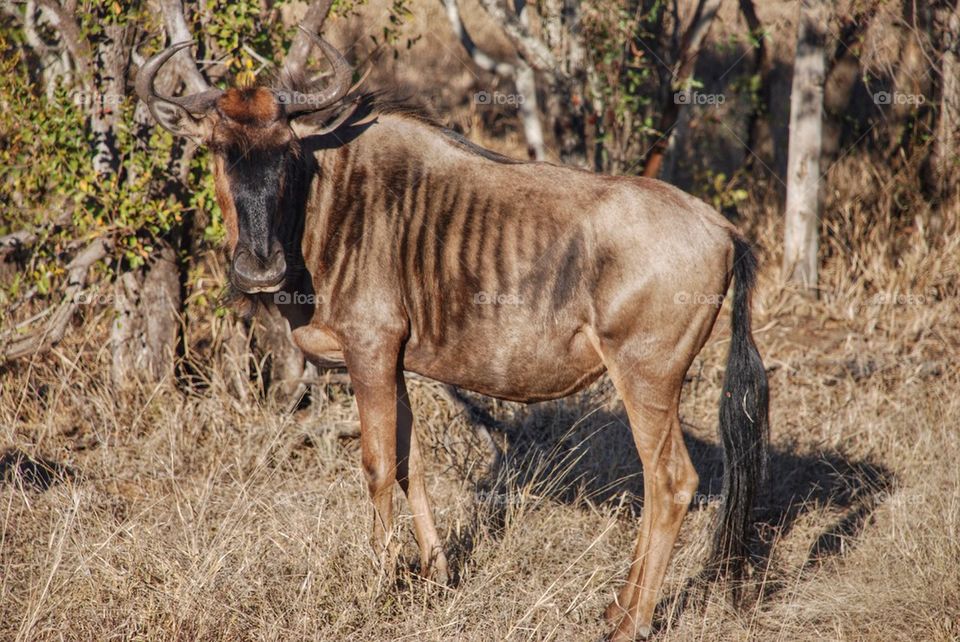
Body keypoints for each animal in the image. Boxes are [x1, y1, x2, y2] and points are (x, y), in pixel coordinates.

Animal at [136, 21, 769, 641]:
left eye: (287, 151)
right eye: (217, 150)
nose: (259, 268)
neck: (328, 203)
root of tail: (723, 229)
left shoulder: (369, 351)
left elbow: (376, 466)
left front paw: (376, 582)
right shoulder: (392, 362)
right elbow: (409, 462)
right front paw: (436, 575)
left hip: (646, 378)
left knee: (670, 482)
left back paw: (631, 621)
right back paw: (616, 611)